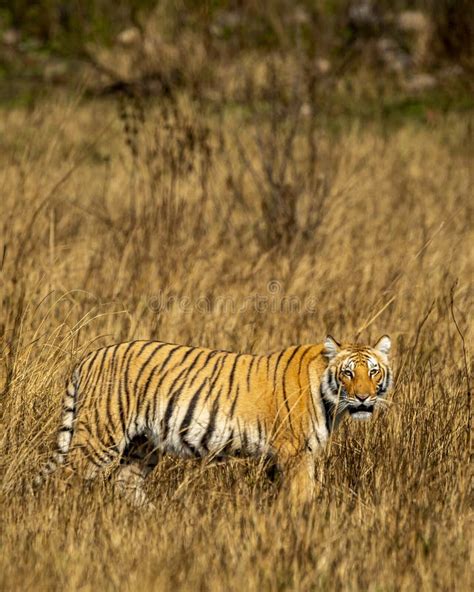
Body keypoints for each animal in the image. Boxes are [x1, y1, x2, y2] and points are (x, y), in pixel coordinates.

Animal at [36, 336, 392, 506]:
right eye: (348, 373)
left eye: (374, 371)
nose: (363, 398)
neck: (333, 404)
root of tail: (90, 357)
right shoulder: (295, 452)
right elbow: (302, 495)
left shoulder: (299, 454)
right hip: (101, 434)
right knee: (65, 478)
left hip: (143, 444)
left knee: (125, 483)